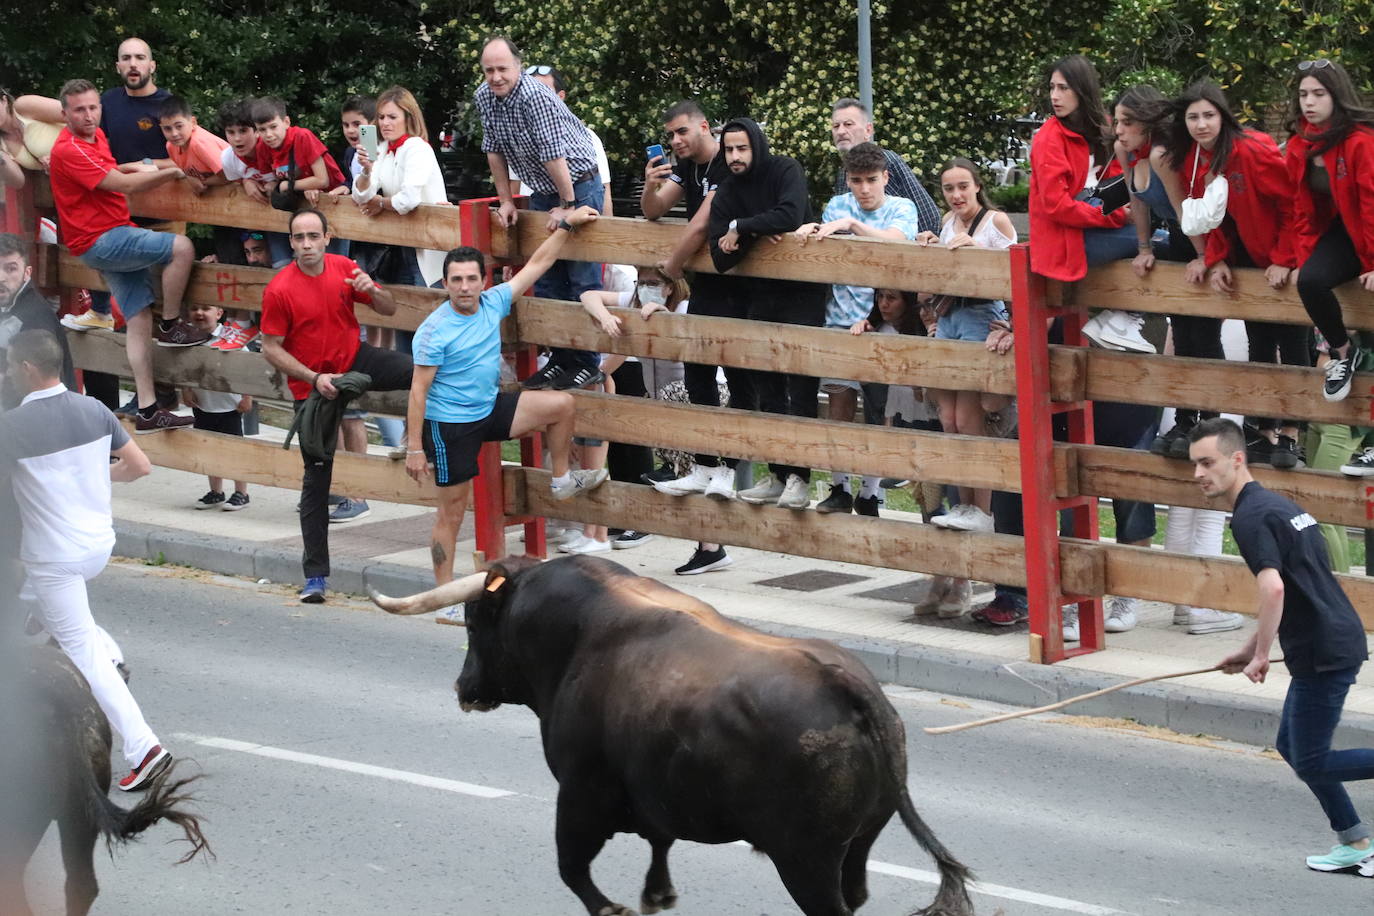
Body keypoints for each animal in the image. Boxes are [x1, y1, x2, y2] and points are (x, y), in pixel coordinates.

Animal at [370, 560, 972, 916]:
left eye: (474, 622)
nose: (463, 686)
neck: (577, 634)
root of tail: (846, 684)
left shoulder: (579, 791)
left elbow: (571, 865)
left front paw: (614, 907)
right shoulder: (656, 790)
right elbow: (658, 841)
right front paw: (657, 893)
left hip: (806, 858)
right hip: (858, 842)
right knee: (857, 893)